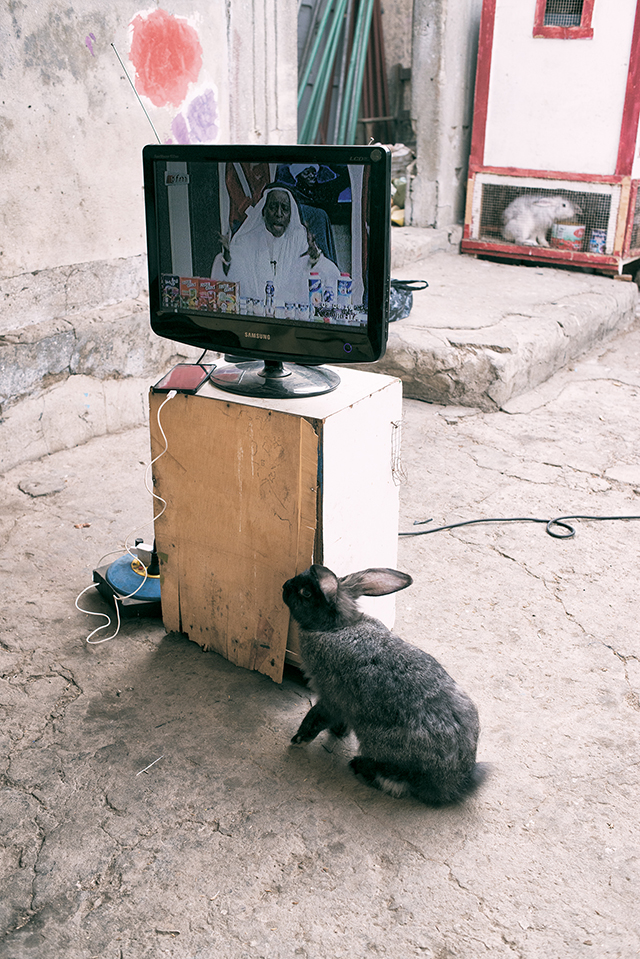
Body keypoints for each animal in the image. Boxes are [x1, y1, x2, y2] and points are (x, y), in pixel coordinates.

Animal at [282, 568, 488, 808]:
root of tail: (456, 783)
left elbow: (315, 717)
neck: (335, 627)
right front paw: (339, 732)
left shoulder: (330, 698)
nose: (285, 586)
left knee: (395, 782)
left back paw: (359, 766)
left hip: (382, 745)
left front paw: (298, 740)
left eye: (305, 593)